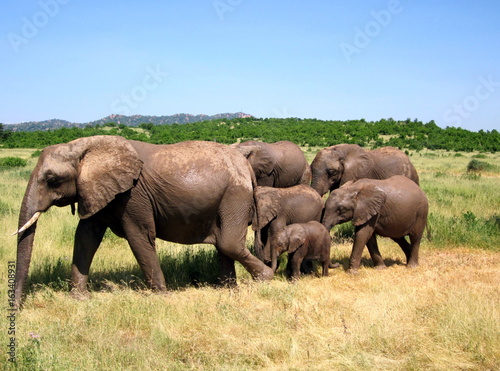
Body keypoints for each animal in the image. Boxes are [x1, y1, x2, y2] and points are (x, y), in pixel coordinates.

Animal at [12, 136, 274, 308]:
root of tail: (246, 166)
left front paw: (161, 298)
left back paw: (266, 279)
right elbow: (86, 237)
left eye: (52, 180)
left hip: (235, 195)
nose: (17, 307)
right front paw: (79, 299)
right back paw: (229, 290)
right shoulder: (98, 190)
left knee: (228, 243)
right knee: (223, 245)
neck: (84, 146)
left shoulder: (133, 195)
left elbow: (138, 236)